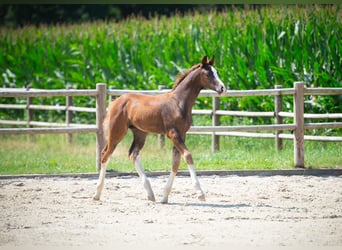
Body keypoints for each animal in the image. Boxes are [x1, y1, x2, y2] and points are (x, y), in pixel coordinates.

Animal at [93, 56, 226, 203]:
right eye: (208, 74)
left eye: (217, 72)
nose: (222, 88)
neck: (178, 102)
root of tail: (115, 102)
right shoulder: (173, 134)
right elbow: (188, 156)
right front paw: (200, 193)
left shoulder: (182, 134)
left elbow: (176, 162)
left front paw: (164, 196)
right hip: (117, 132)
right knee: (105, 154)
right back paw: (97, 194)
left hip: (140, 133)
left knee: (133, 154)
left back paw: (150, 194)